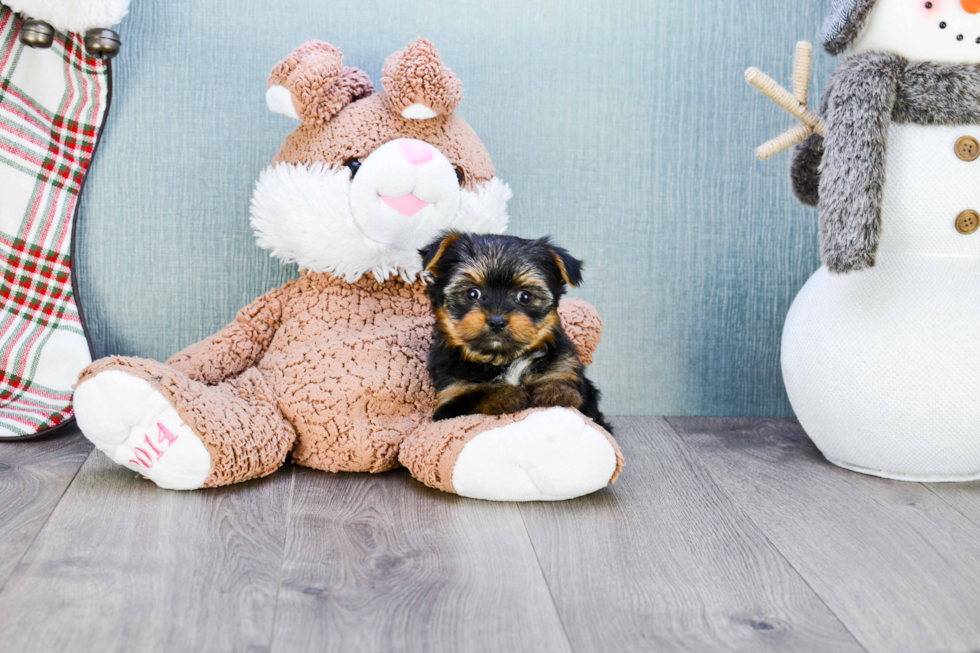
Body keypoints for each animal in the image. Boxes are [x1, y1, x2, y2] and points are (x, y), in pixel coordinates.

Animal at [418, 232, 608, 430]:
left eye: (525, 296)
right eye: (472, 293)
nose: (497, 321)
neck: (503, 359)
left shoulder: (563, 369)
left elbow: (562, 384)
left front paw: (555, 390)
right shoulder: (451, 396)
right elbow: (474, 396)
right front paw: (504, 394)